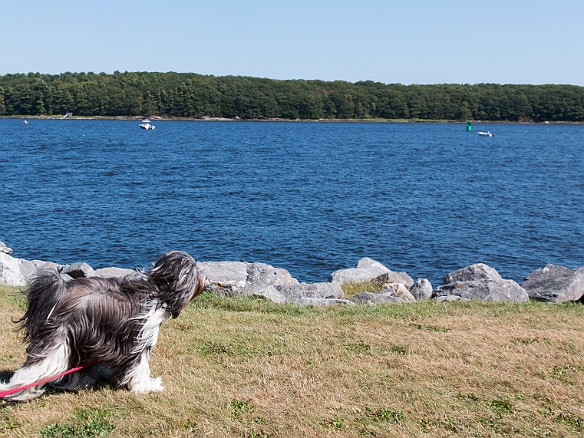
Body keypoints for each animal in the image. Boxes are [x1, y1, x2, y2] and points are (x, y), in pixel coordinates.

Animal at [0, 252, 205, 402]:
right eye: (195, 271)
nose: (205, 278)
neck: (158, 290)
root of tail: (58, 292)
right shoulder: (139, 339)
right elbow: (140, 367)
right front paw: (147, 386)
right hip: (58, 340)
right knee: (35, 368)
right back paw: (15, 391)